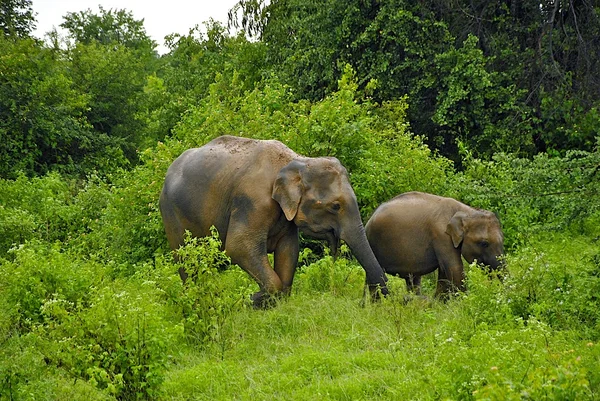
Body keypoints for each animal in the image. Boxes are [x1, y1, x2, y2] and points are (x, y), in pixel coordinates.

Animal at [159, 134, 390, 306]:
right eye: (335, 206)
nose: (369, 300)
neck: (296, 161)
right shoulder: (253, 201)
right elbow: (239, 246)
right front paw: (253, 299)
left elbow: (289, 249)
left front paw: (266, 302)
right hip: (170, 213)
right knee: (185, 259)